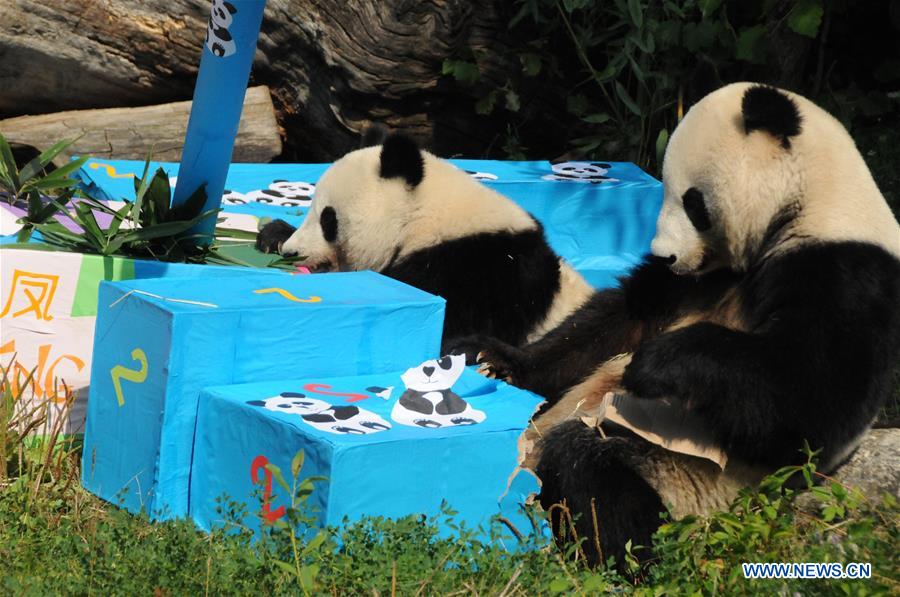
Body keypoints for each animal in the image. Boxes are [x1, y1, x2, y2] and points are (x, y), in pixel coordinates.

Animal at [255, 133, 595, 353]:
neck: (422, 217)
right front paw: (273, 235)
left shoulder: (478, 274)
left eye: (329, 219)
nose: (293, 252)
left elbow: (450, 321)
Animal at [458, 83, 900, 567]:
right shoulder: (691, 282)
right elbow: (613, 324)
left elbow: (813, 402)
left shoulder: (846, 271)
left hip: (688, 478)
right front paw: (492, 356)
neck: (811, 202)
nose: (663, 254)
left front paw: (657, 364)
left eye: (693, 202)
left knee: (588, 463)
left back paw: (630, 559)